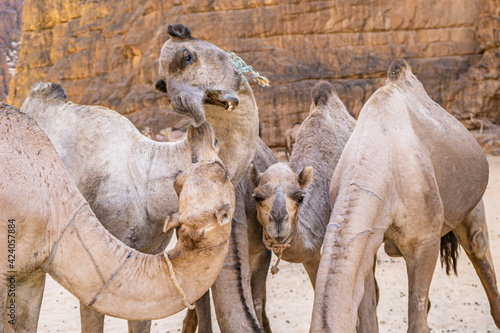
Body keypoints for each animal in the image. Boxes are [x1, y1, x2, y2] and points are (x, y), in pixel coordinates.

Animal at [310, 59, 498, 332]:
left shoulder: (425, 243)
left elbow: (417, 323)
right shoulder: (367, 242)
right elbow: (367, 318)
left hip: (471, 204)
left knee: (479, 246)